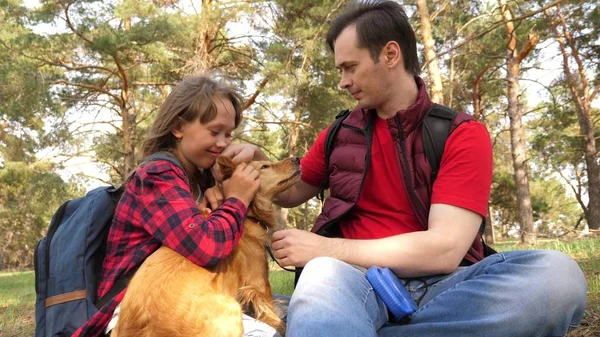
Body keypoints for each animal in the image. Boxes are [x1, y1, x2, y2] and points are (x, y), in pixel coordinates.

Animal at [110, 156, 300, 334]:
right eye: (265, 166)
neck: (248, 213)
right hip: (232, 308)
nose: (297, 158)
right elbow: (273, 314)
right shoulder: (260, 283)